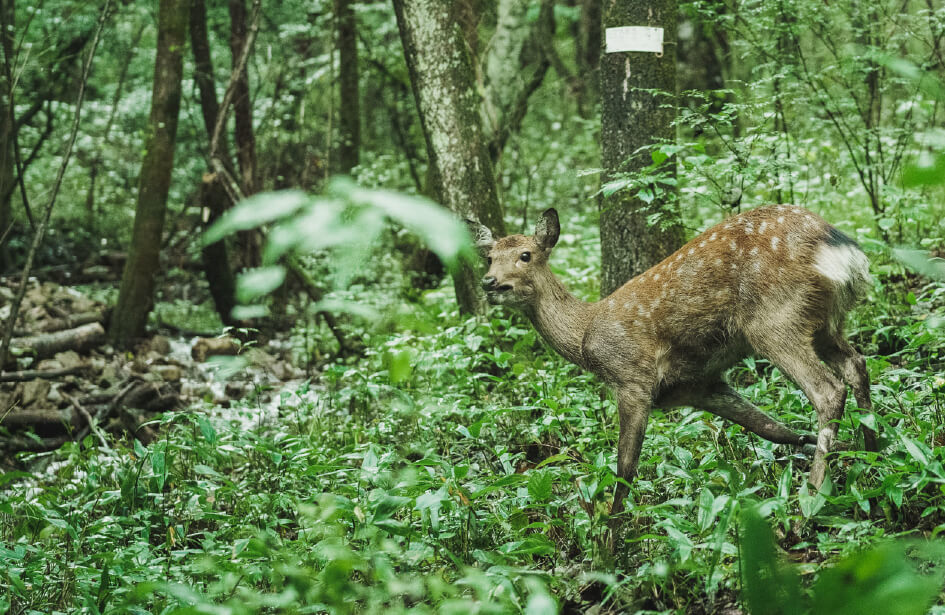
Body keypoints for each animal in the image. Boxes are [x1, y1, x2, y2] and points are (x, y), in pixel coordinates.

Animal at [468, 207, 872, 524]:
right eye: (489, 258)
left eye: (525, 255)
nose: (490, 282)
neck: (585, 337)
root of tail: (842, 251)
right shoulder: (700, 386)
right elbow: (774, 429)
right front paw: (831, 446)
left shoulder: (632, 379)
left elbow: (624, 470)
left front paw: (609, 552)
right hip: (825, 323)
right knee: (857, 364)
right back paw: (871, 452)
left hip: (775, 320)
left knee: (828, 390)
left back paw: (808, 507)